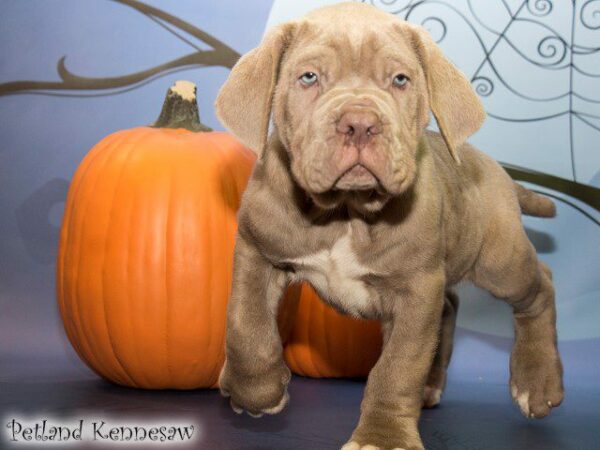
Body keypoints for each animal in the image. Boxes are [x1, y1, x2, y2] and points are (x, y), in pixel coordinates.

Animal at [214, 3, 564, 450]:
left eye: (400, 80)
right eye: (308, 77)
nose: (360, 123)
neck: (345, 212)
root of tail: (492, 166)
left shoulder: (416, 290)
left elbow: (398, 368)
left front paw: (382, 438)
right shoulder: (257, 250)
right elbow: (245, 325)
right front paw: (255, 392)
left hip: (498, 260)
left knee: (540, 285)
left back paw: (537, 384)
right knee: (451, 305)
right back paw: (433, 385)